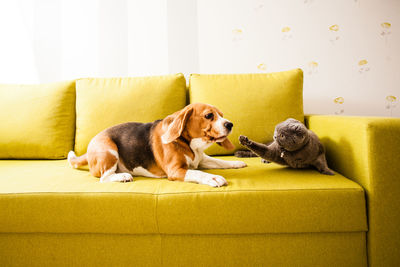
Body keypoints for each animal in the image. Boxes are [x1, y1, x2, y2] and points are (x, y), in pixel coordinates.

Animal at [67, 103, 245, 187]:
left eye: (221, 115)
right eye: (209, 115)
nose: (230, 124)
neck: (189, 144)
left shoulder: (201, 159)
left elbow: (218, 161)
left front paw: (236, 162)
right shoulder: (176, 170)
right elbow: (198, 173)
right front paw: (213, 177)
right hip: (109, 149)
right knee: (104, 178)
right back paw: (122, 176)